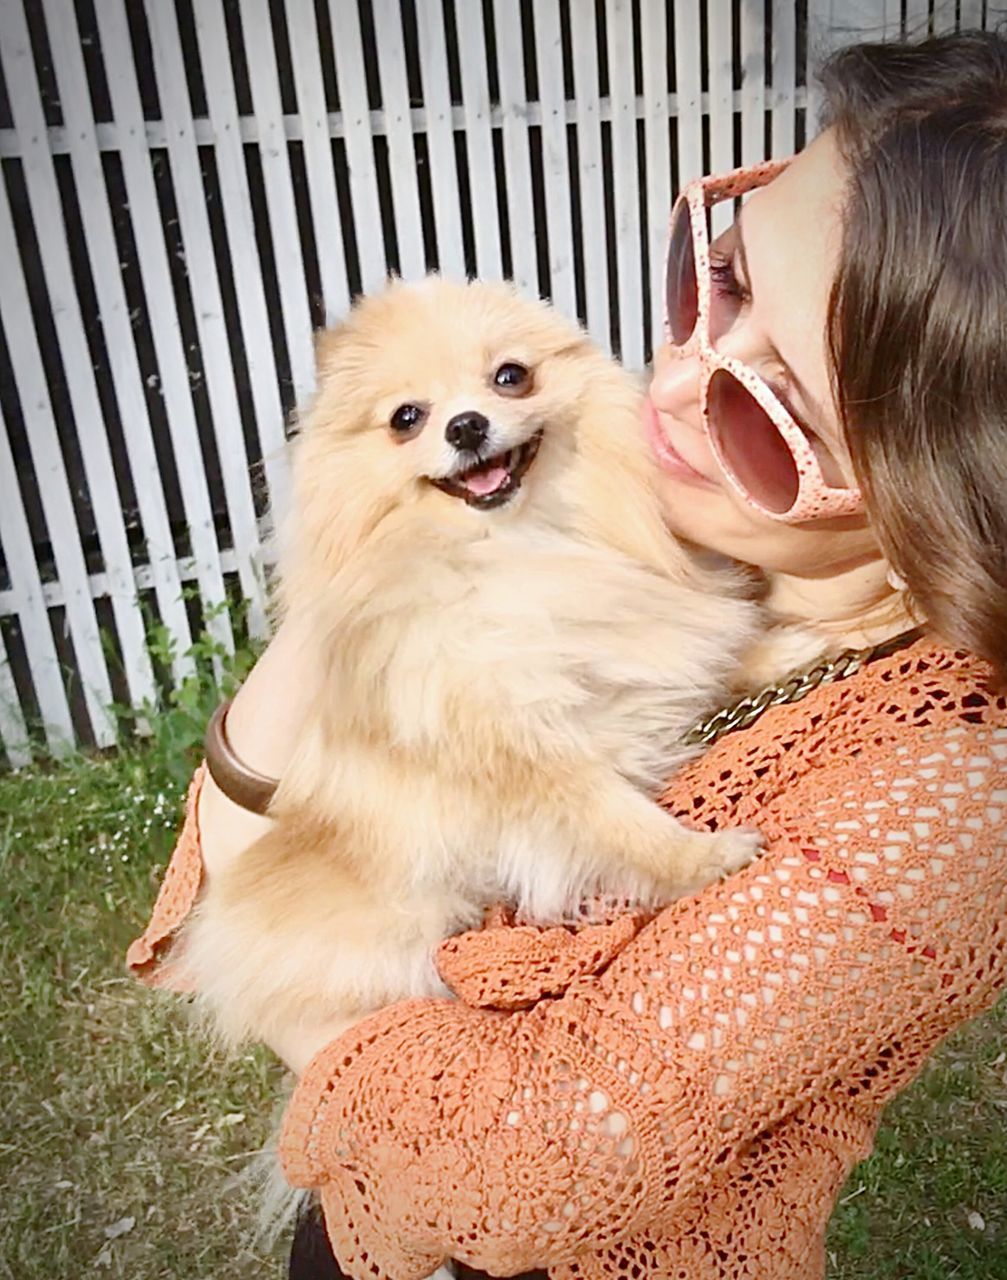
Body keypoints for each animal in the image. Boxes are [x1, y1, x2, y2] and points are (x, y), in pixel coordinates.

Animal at [182, 277, 762, 1049]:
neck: (515, 547)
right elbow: (618, 819)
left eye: (510, 377)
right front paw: (702, 859)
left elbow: (716, 658)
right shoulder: (520, 750)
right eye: (406, 418)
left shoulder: (628, 655)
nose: (465, 426)